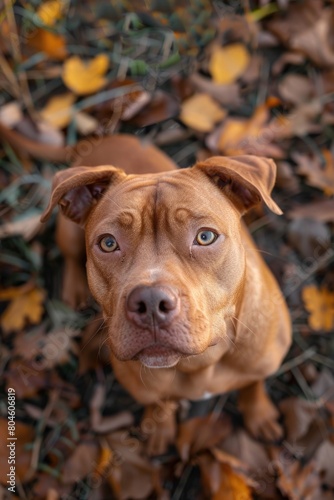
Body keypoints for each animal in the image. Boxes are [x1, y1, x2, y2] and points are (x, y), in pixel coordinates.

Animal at [41, 135, 290, 456]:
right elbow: (160, 402)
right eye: (108, 243)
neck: (202, 363)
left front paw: (259, 414)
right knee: (71, 255)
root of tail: (104, 138)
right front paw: (159, 429)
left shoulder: (261, 363)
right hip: (67, 233)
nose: (149, 302)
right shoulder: (146, 389)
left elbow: (253, 384)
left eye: (205, 236)